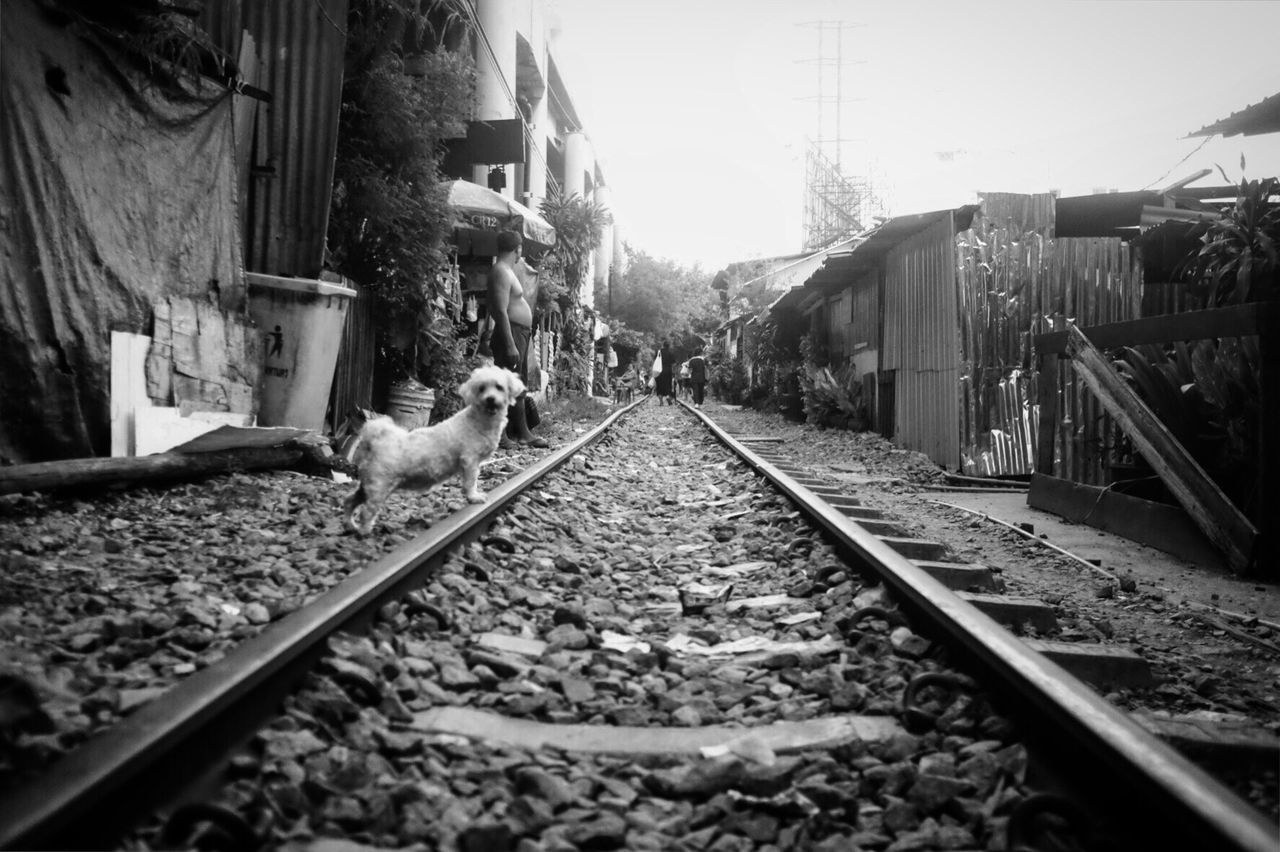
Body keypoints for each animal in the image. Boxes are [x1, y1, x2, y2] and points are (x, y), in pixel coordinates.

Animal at [345, 363, 524, 532]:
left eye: (499, 387)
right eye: (481, 388)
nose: (490, 399)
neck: (481, 420)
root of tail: (377, 440)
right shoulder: (470, 461)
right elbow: (470, 483)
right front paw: (474, 497)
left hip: (368, 484)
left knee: (349, 501)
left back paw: (351, 525)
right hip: (379, 486)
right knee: (366, 512)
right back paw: (364, 531)